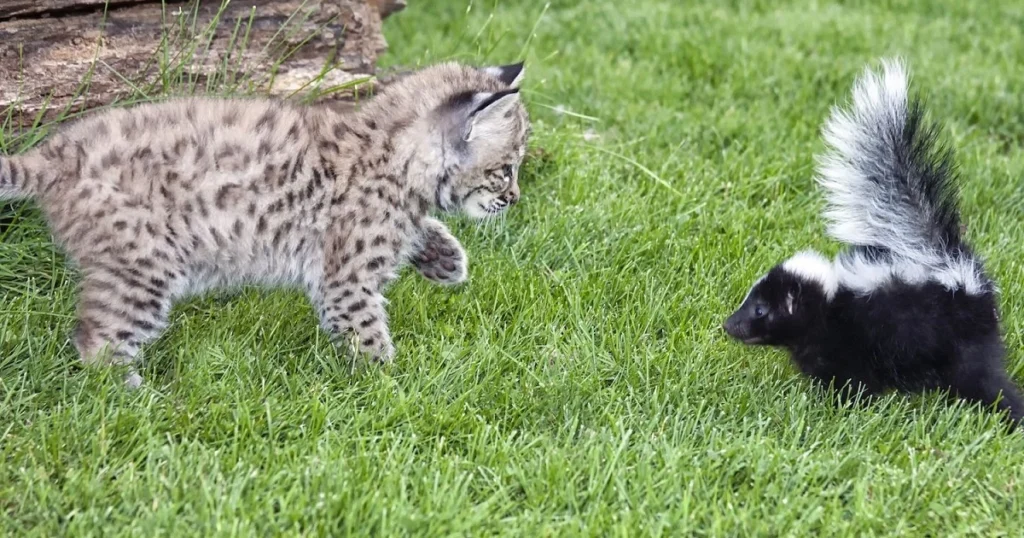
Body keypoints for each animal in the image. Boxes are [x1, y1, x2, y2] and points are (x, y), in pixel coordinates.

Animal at [0, 60, 528, 383]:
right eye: (505, 170)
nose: (516, 199)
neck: (391, 152)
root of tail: (55, 152)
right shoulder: (344, 282)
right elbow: (368, 334)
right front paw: (392, 388)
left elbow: (418, 229)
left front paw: (446, 258)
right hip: (144, 265)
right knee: (97, 340)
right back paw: (138, 402)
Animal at [720, 58, 1024, 426]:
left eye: (760, 309)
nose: (729, 324)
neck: (829, 304)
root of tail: (951, 264)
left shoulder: (852, 340)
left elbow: (852, 380)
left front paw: (843, 406)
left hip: (962, 337)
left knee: (983, 376)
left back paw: (1011, 413)